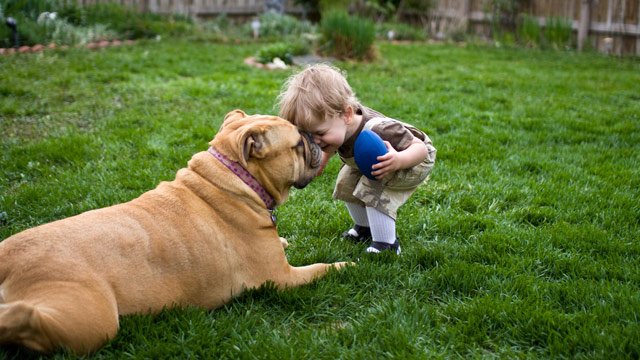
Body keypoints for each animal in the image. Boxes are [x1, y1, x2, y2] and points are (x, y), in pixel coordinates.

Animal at [0, 109, 348, 354]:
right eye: (297, 144)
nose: (312, 136)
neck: (235, 179)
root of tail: (6, 257)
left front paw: (285, 239)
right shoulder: (282, 278)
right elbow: (321, 268)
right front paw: (346, 265)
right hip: (91, 317)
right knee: (26, 318)